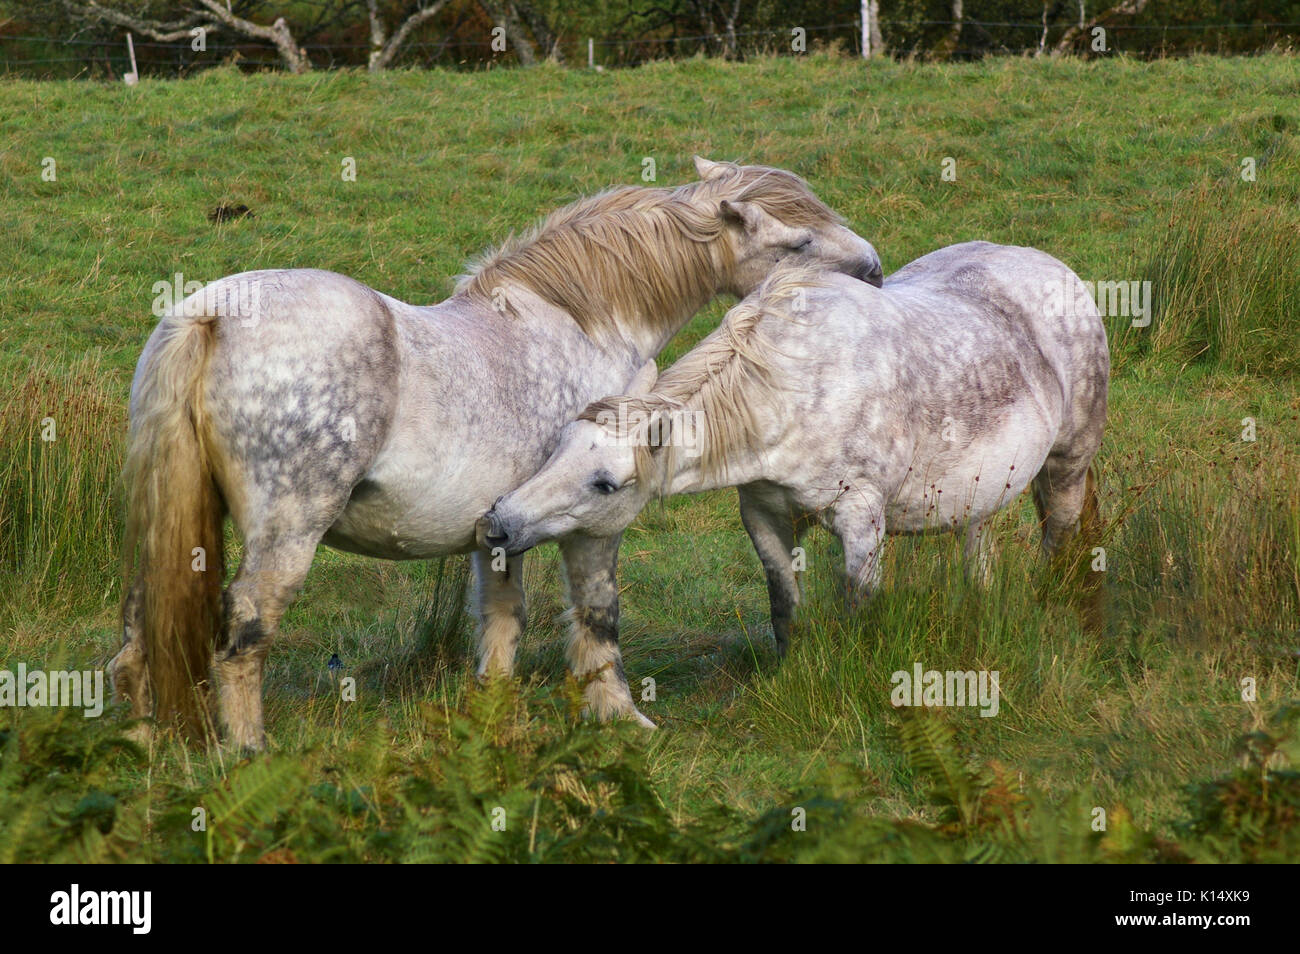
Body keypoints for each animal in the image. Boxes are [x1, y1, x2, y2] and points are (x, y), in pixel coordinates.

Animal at [115, 156, 884, 748]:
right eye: (797, 242)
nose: (874, 272)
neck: (580, 321)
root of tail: (212, 314)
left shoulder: (502, 527)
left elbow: (501, 620)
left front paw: (493, 714)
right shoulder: (592, 523)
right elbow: (598, 614)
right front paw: (621, 718)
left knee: (138, 634)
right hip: (287, 534)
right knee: (243, 634)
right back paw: (249, 752)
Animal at [478, 242, 1110, 676]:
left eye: (605, 483)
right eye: (556, 448)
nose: (498, 524)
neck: (794, 388)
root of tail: (1056, 270)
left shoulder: (861, 521)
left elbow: (858, 607)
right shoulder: (764, 514)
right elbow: (785, 605)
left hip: (1068, 466)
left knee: (1058, 540)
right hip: (980, 492)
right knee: (978, 545)